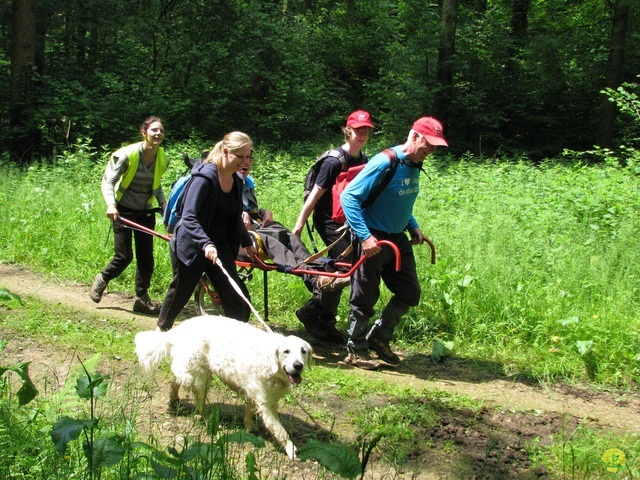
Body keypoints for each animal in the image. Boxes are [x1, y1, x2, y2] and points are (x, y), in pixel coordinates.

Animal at [134, 316, 312, 462]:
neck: (270, 363)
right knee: (200, 404)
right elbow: (282, 433)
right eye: (286, 351)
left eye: (303, 351)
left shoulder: (252, 392)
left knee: (176, 382)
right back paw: (210, 421)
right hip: (201, 378)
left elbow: (249, 409)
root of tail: (180, 329)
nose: (298, 365)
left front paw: (248, 425)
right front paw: (292, 451)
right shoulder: (266, 405)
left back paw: (174, 400)